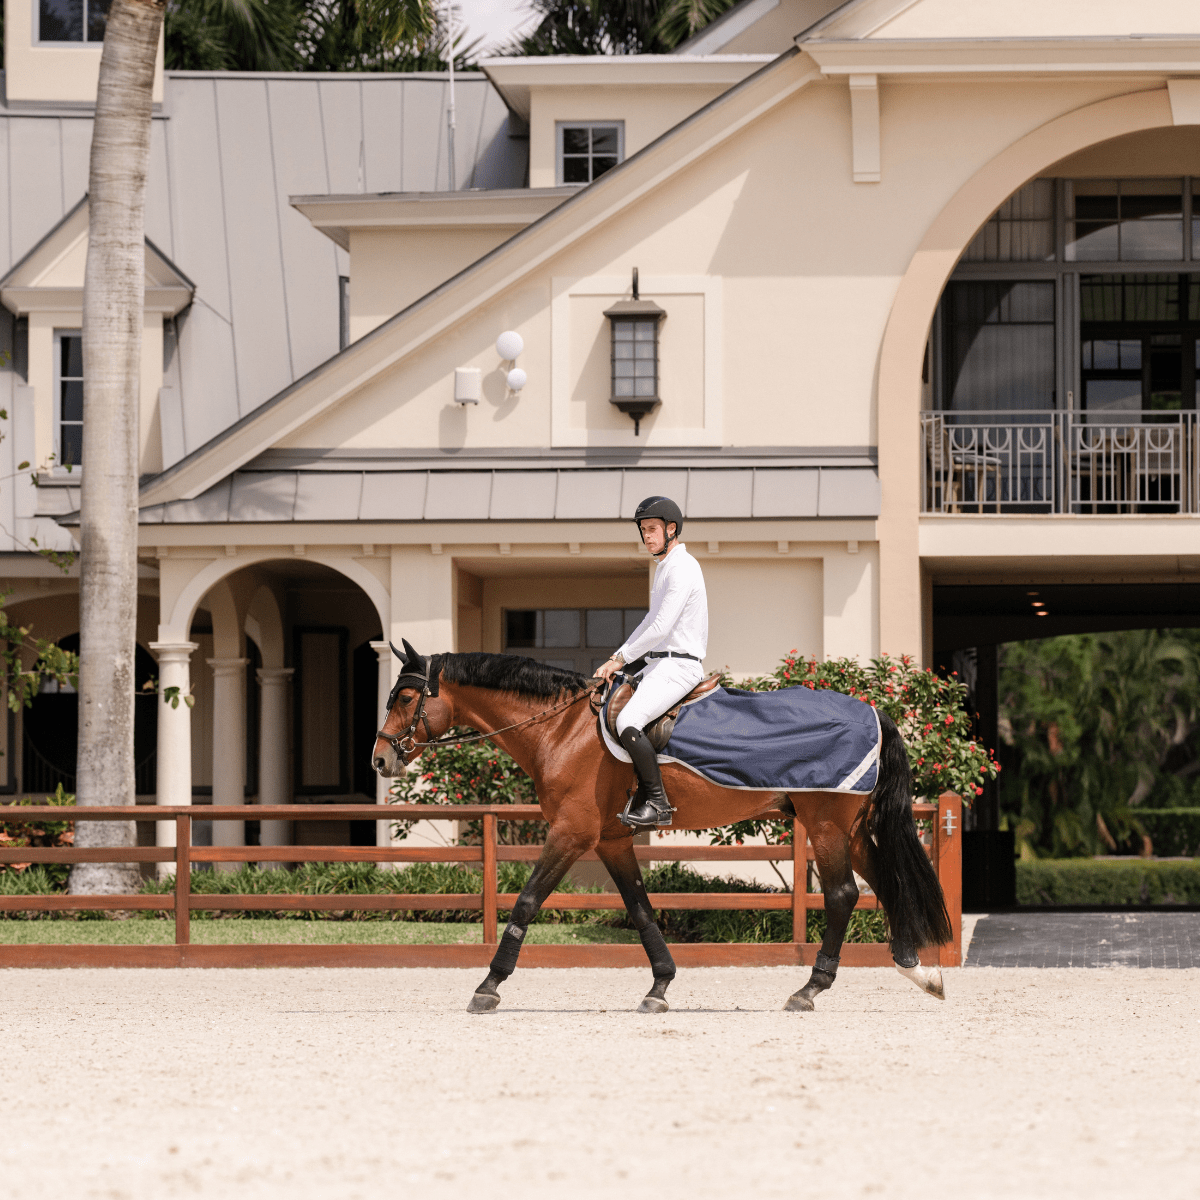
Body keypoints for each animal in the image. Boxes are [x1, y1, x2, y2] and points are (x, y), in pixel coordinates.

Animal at [373, 643, 952, 1015]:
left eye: (405, 698)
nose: (380, 759)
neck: (561, 729)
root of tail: (873, 711)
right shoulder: (610, 839)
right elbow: (640, 908)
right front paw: (660, 986)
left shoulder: (571, 833)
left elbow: (526, 903)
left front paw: (488, 986)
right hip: (848, 829)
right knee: (884, 883)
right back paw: (918, 970)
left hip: (826, 823)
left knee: (841, 894)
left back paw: (809, 990)